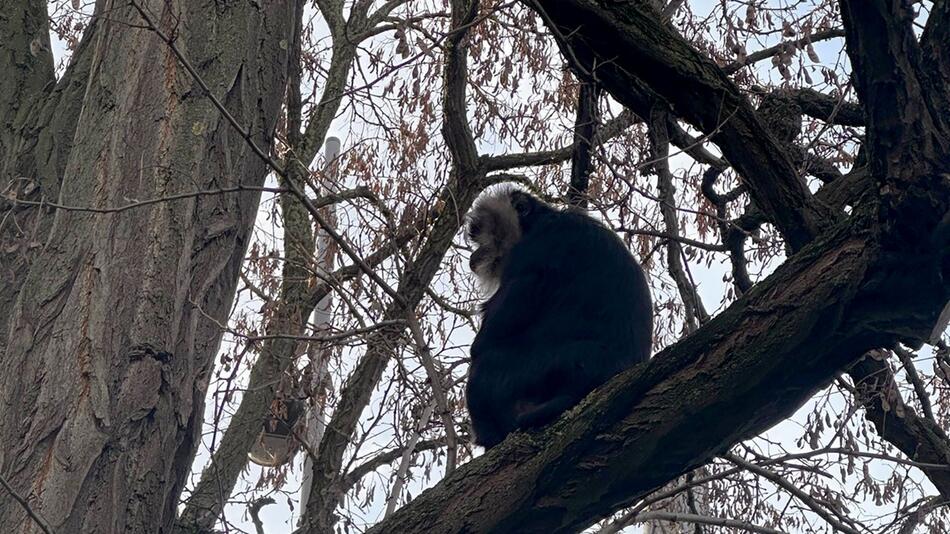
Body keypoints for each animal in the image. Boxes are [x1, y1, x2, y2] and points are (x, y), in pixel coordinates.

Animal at [462, 187, 656, 448]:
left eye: (480, 232)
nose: (475, 254)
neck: (538, 222)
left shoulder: (534, 249)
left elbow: (488, 338)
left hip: (550, 367)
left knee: (484, 367)